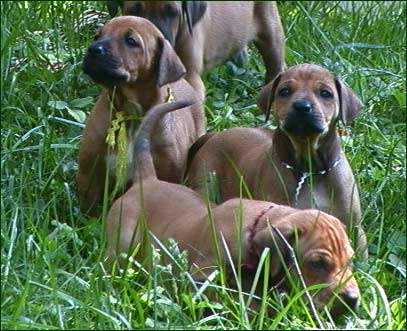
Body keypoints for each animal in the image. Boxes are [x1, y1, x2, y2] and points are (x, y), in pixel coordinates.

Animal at [76, 16, 206, 215]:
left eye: (131, 41)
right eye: (97, 36)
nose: (93, 49)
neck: (131, 112)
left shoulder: (169, 172)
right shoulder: (88, 171)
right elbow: (88, 210)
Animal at [105, 100, 360, 320]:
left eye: (350, 261)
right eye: (317, 263)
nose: (353, 299)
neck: (253, 230)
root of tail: (147, 180)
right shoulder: (200, 279)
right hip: (120, 244)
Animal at [188, 63, 370, 255]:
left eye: (325, 93)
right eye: (285, 91)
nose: (302, 107)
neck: (309, 169)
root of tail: (215, 135)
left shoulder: (355, 228)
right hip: (205, 181)